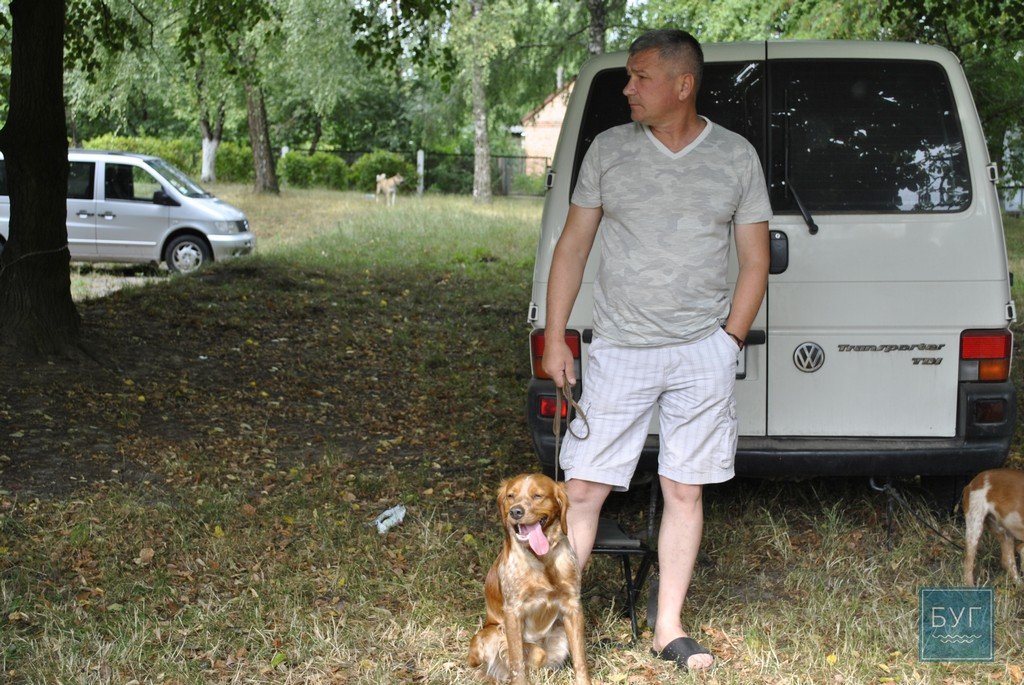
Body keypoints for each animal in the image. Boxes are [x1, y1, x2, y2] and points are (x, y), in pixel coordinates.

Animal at [468, 473, 590, 684]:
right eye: (510, 496)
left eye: (538, 496)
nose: (516, 512)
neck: (542, 558)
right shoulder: (513, 611)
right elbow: (517, 662)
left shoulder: (572, 606)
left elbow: (580, 658)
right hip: (491, 633)